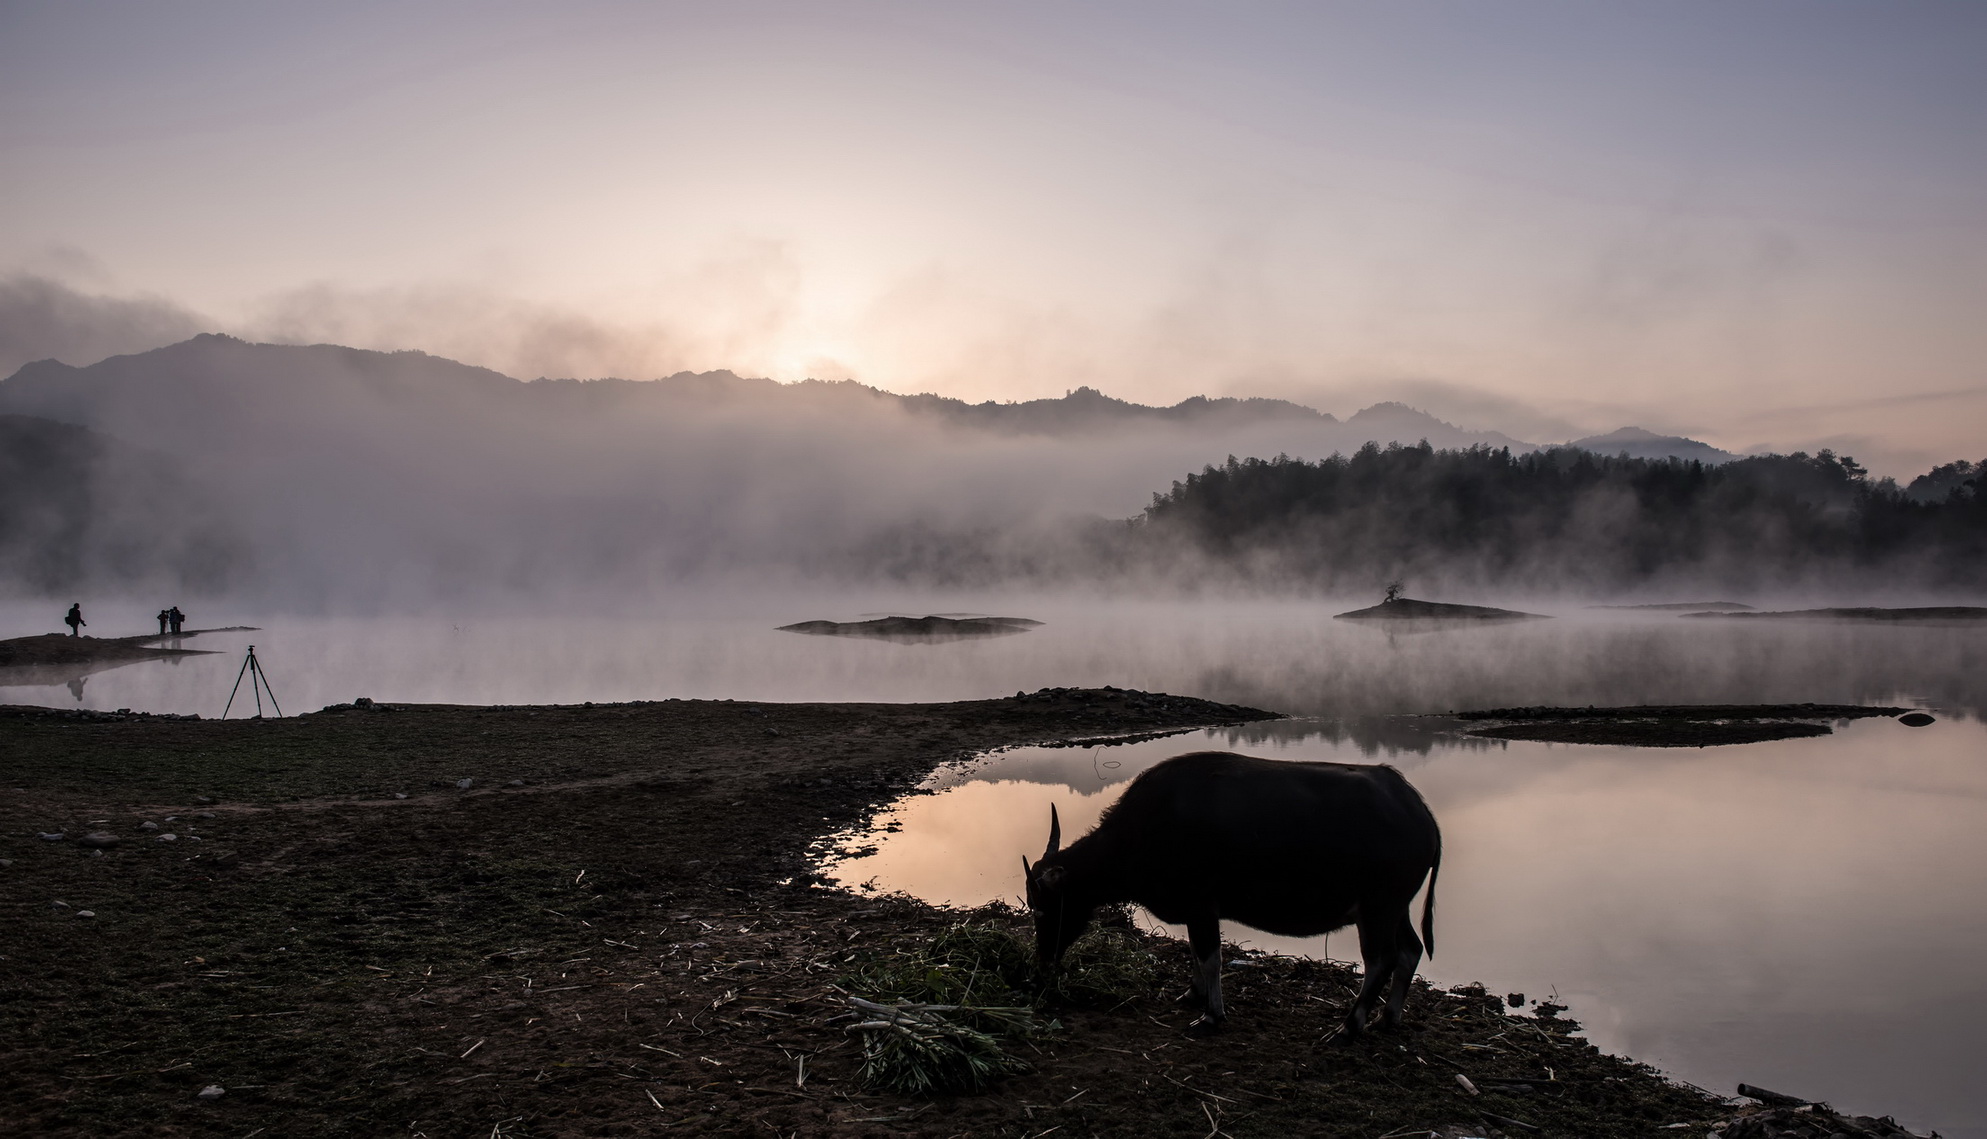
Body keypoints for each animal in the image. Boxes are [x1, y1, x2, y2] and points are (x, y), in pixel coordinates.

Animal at [1033, 751, 1438, 1033]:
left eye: (1045, 906)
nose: (1043, 960)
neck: (1144, 827)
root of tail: (1419, 811)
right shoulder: (1199, 910)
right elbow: (1196, 952)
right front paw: (1193, 994)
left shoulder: (1200, 904)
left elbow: (1210, 956)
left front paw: (1211, 1015)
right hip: (1396, 908)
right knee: (1410, 950)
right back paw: (1388, 1018)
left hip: (1378, 908)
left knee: (1380, 960)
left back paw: (1351, 1024)